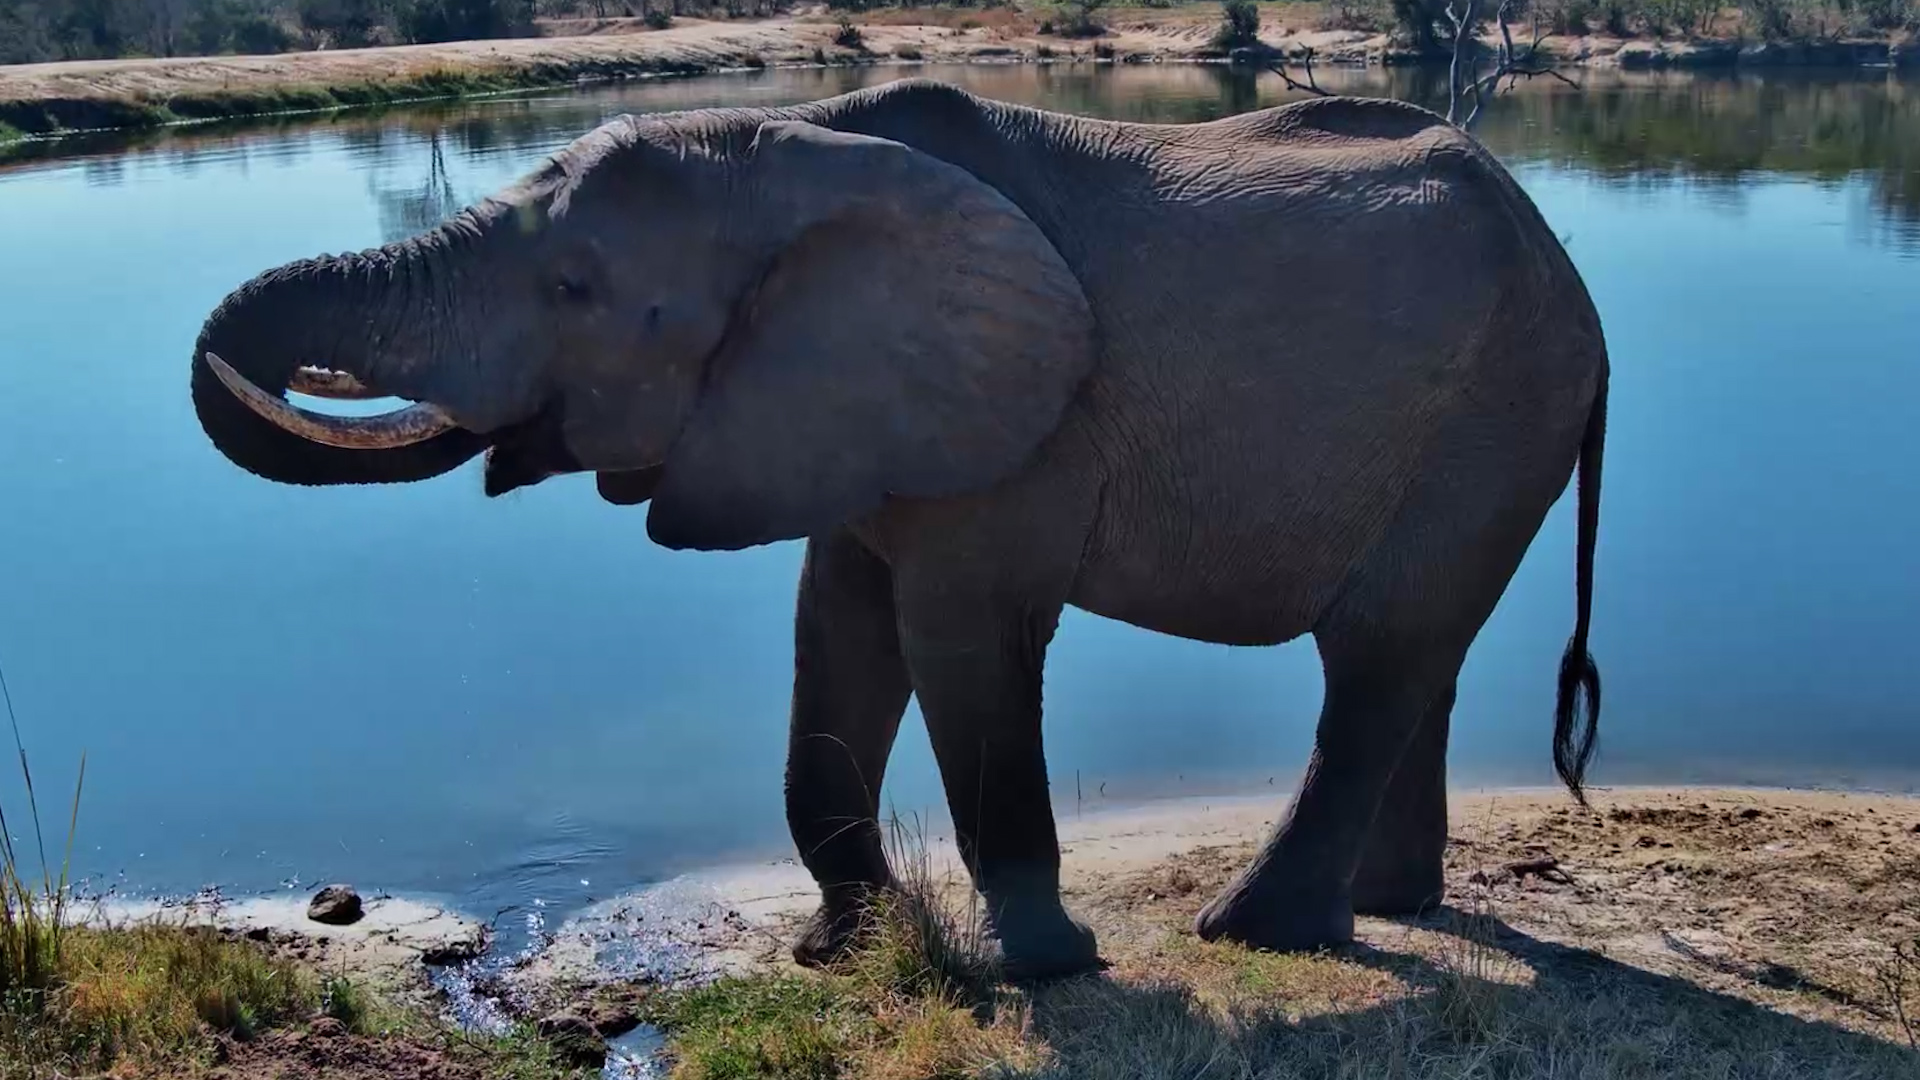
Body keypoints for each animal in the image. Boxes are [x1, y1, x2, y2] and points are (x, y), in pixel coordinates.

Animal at [188, 78, 1607, 981]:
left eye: (576, 288)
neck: (796, 146)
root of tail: (1563, 262)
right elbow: (839, 630)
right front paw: (845, 951)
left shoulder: (1017, 428)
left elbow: (960, 642)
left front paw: (1045, 972)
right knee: (1418, 658)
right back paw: (1387, 906)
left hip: (1501, 409)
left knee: (1375, 655)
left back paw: (1252, 934)